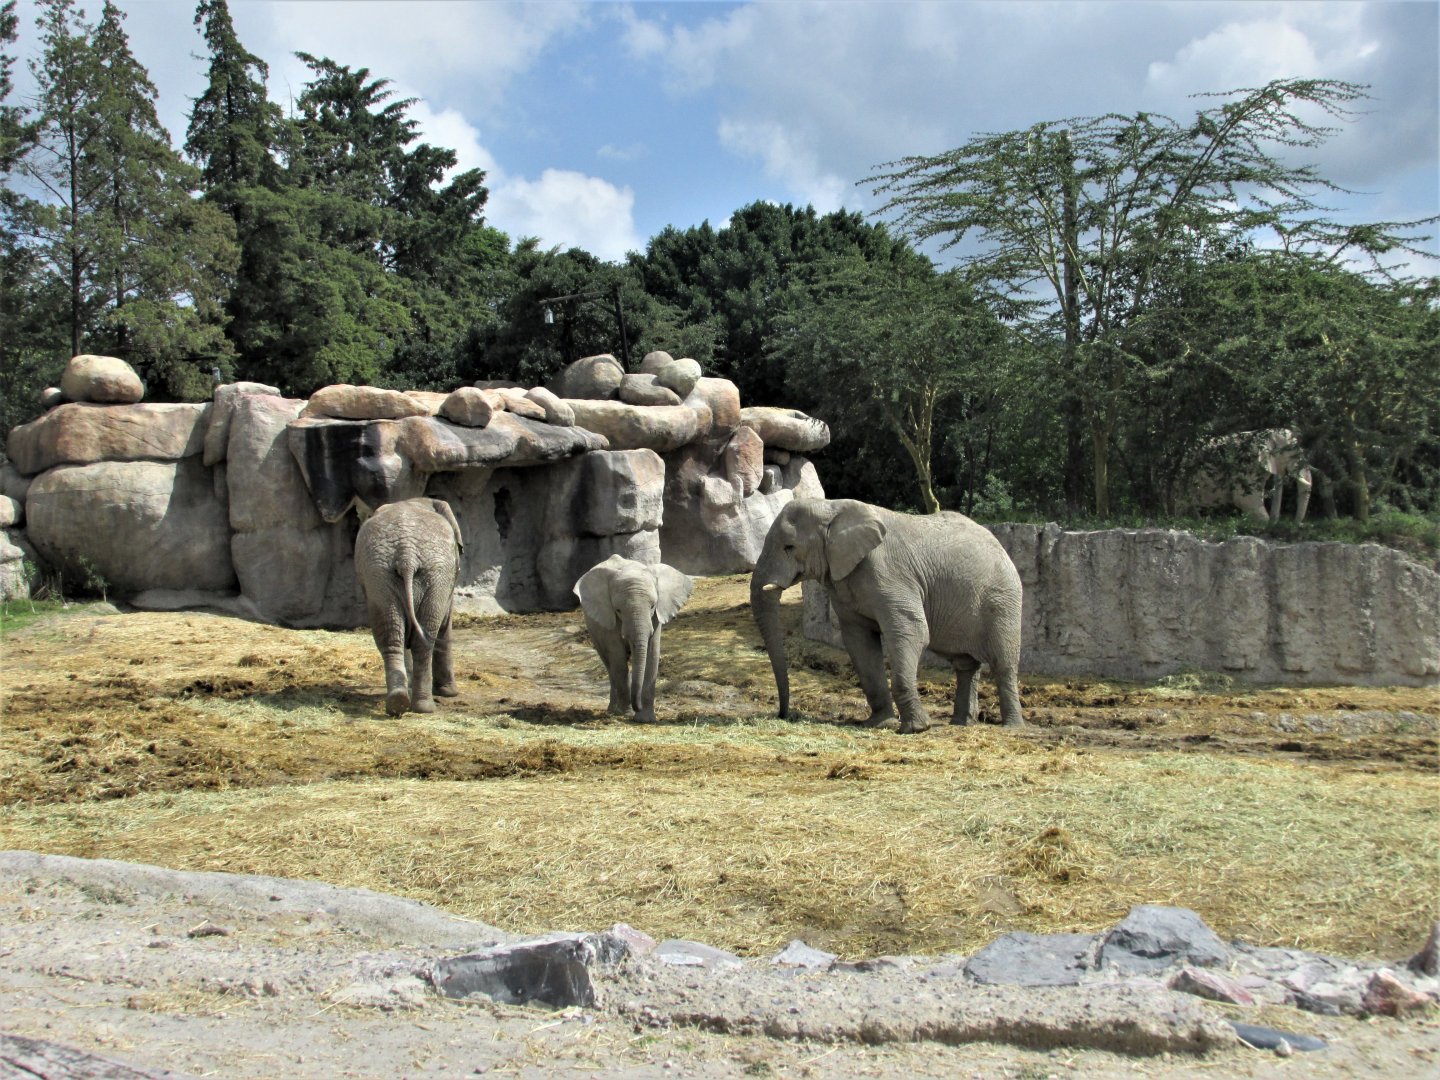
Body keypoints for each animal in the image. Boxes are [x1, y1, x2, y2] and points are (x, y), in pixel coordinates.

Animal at [354, 497, 464, 716]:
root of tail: (406, 555)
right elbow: (445, 625)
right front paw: (449, 693)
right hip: (435, 576)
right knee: (425, 637)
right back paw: (424, 707)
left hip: (379, 575)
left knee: (392, 635)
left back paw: (400, 703)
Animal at [573, 554, 695, 723]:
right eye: (618, 610)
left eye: (652, 606)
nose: (637, 706)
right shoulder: (609, 619)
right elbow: (618, 658)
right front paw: (626, 714)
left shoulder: (656, 616)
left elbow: (652, 654)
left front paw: (645, 719)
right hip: (594, 631)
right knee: (610, 665)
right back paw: (613, 711)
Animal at [751, 499, 1023, 733]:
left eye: (789, 547)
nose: (785, 715)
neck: (832, 507)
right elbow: (859, 642)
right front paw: (880, 724)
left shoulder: (891, 574)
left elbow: (911, 631)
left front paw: (916, 729)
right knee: (965, 663)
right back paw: (961, 723)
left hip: (1003, 599)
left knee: (1003, 662)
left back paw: (1011, 727)